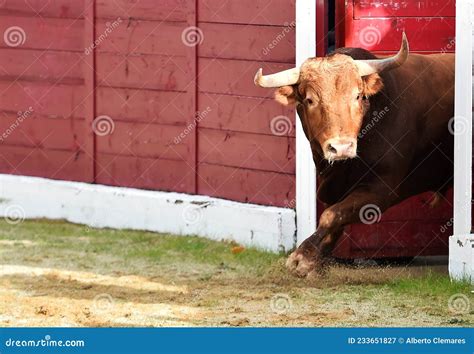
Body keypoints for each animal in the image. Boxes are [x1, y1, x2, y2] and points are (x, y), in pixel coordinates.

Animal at [254, 34, 454, 276]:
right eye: (310, 100)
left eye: (358, 96)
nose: (341, 148)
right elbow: (335, 217)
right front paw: (314, 258)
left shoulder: (380, 191)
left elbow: (331, 215)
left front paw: (302, 256)